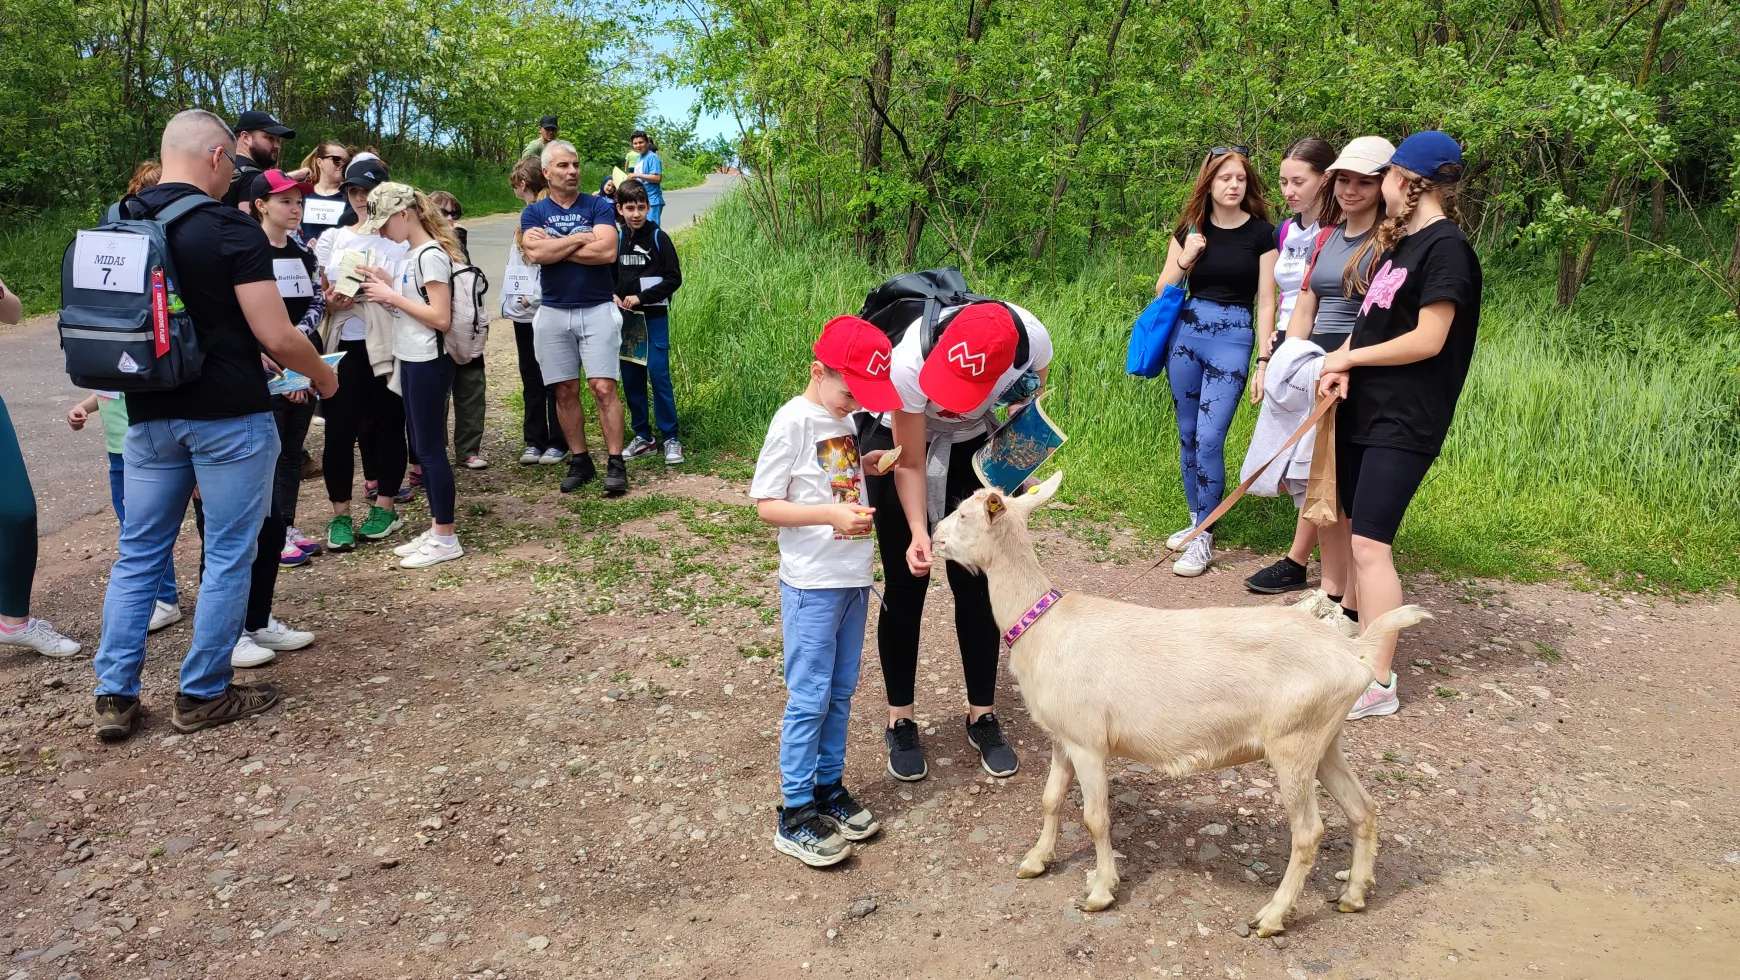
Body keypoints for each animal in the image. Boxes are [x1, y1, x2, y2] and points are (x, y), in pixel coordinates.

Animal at [932, 473, 1433, 933]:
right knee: (1363, 808)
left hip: (1293, 741)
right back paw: (1353, 895)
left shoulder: (1089, 742)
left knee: (1308, 833)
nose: (934, 536)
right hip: (1324, 738)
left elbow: (1095, 818)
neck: (1043, 626)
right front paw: (1036, 861)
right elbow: (1051, 799)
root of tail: (1354, 652)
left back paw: (1272, 916)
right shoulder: (1062, 736)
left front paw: (1101, 891)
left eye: (965, 514)